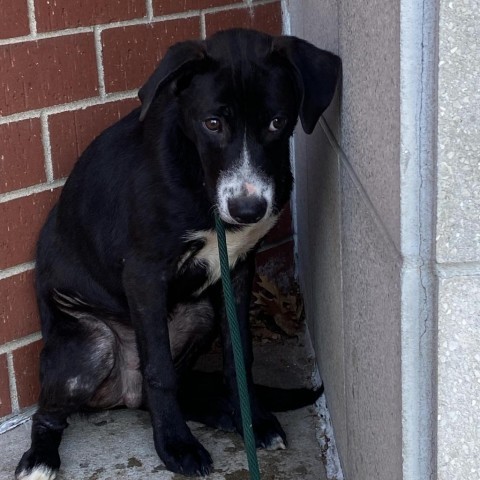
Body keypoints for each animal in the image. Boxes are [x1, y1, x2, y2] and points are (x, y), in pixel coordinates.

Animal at [16, 28, 340, 478]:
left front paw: (253, 420)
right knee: (55, 411)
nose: (247, 209)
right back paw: (41, 458)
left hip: (199, 313)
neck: (198, 175)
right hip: (89, 346)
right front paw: (175, 445)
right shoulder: (144, 273)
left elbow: (239, 354)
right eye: (212, 123)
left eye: (277, 121)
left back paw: (222, 413)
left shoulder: (239, 268)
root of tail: (121, 395)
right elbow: (159, 372)